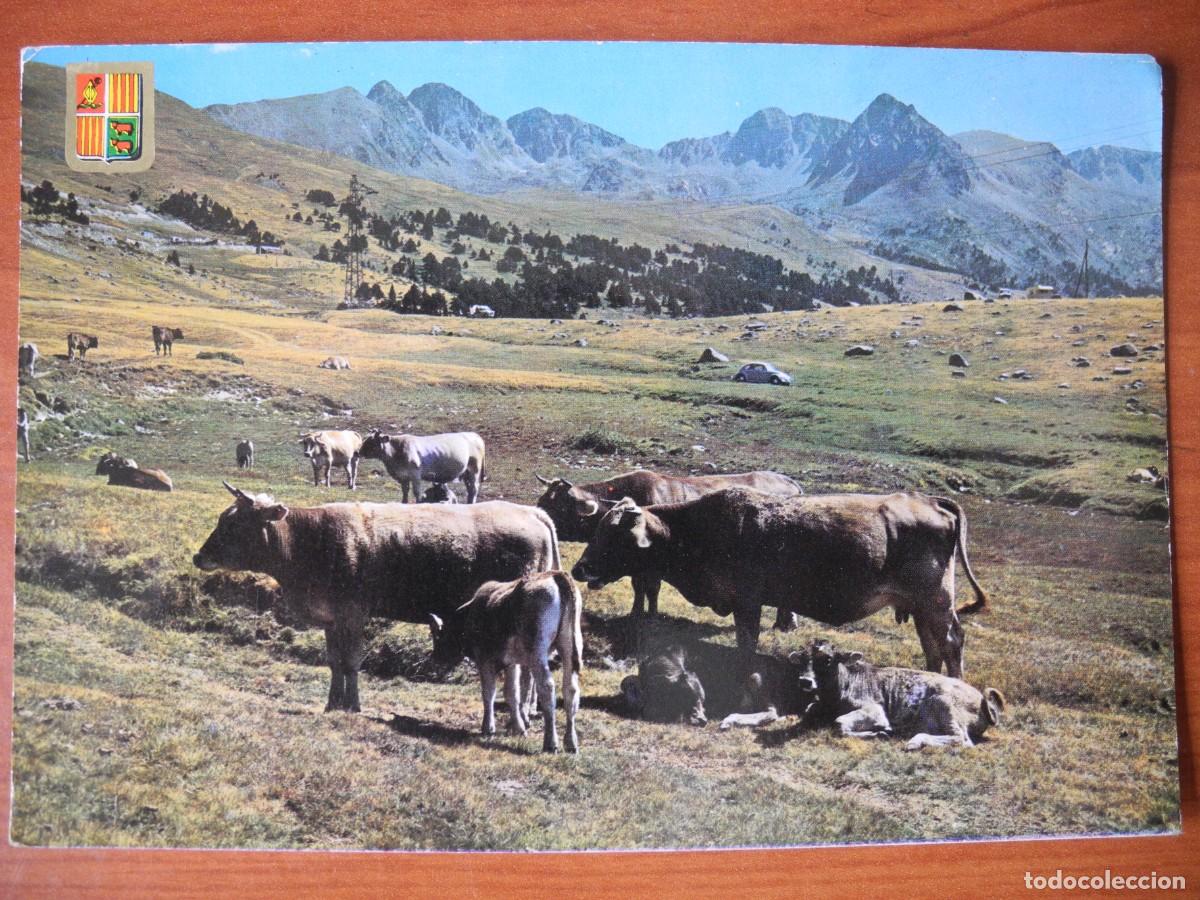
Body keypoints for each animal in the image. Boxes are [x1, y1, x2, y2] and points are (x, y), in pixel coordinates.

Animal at [193, 484, 561, 713]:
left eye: (236, 525)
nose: (199, 557)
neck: (309, 542)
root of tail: (532, 513)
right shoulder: (332, 617)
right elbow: (335, 661)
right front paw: (333, 703)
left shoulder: (355, 614)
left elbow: (352, 661)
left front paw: (352, 705)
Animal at [453, 571, 582, 753]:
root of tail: (556, 575)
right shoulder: (512, 663)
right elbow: (512, 692)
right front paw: (518, 728)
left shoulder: (484, 659)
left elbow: (489, 692)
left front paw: (488, 727)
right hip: (570, 644)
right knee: (571, 690)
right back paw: (570, 742)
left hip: (537, 652)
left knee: (547, 688)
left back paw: (551, 742)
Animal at [535, 469, 803, 627]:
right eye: (542, 500)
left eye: (558, 506)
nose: (535, 516)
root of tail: (791, 482)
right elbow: (638, 587)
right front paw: (635, 612)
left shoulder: (653, 568)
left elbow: (652, 589)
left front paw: (651, 616)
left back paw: (786, 623)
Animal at [571, 489, 988, 678]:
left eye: (615, 536)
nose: (580, 569)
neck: (699, 531)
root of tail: (930, 501)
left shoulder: (747, 604)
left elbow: (747, 642)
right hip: (921, 607)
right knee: (931, 646)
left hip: (937, 602)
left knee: (951, 642)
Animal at [804, 639, 1005, 750]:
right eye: (802, 657)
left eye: (828, 659)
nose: (805, 680)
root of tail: (982, 700)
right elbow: (810, 709)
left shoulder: (876, 711)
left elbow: (838, 723)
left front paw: (881, 732)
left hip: (943, 704)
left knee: (961, 739)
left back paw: (914, 742)